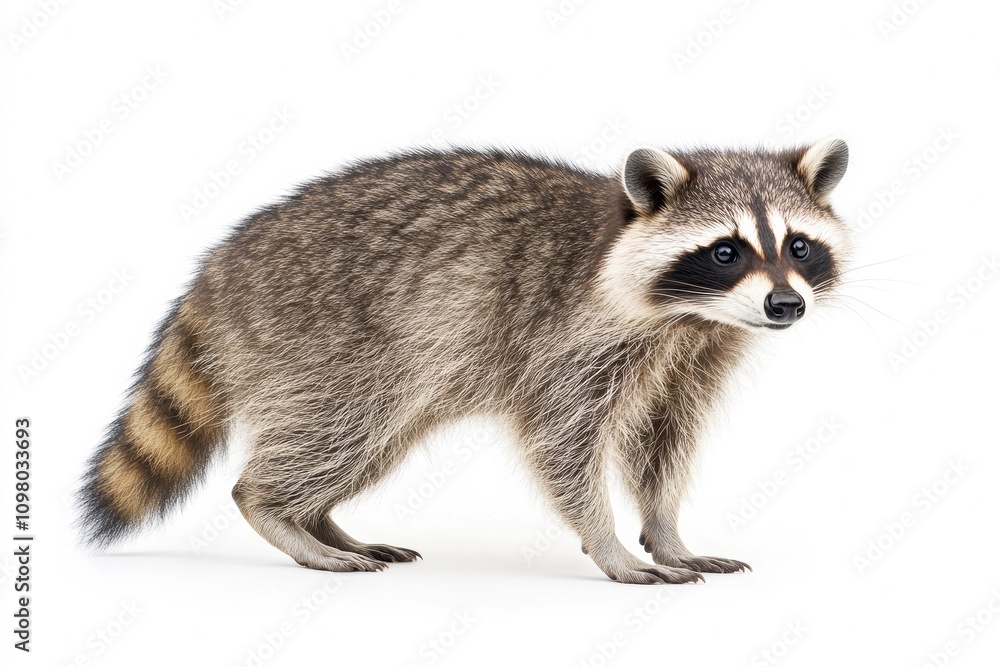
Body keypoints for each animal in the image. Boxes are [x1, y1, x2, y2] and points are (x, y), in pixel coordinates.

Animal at [78, 140, 850, 584]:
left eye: (798, 245)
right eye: (726, 251)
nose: (786, 305)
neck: (690, 317)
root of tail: (219, 264)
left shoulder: (690, 358)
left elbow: (663, 442)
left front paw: (665, 531)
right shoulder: (567, 339)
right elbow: (563, 441)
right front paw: (607, 542)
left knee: (367, 444)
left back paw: (319, 519)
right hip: (324, 337)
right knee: (337, 430)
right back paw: (277, 510)